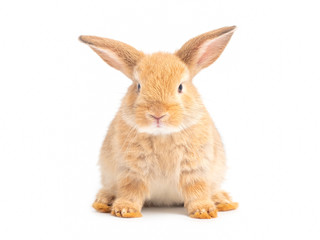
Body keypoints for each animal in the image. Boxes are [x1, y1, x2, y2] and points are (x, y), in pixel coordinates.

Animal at [80, 25, 239, 218]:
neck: (162, 134)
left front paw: (204, 211)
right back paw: (103, 202)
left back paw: (223, 201)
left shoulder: (195, 169)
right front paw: (125, 210)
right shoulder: (132, 170)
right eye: (138, 86)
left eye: (180, 87)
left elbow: (197, 189)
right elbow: (130, 190)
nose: (157, 114)